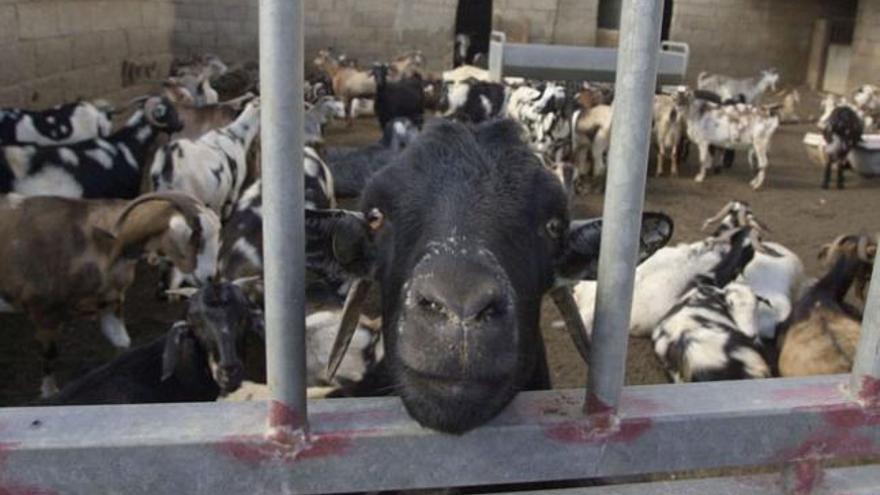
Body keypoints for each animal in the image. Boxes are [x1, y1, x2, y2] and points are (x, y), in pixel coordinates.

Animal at [0, 192, 220, 398]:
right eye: (194, 237)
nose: (210, 278)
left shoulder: (110, 303)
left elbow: (122, 344)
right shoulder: (44, 311)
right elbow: (49, 354)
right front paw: (49, 392)